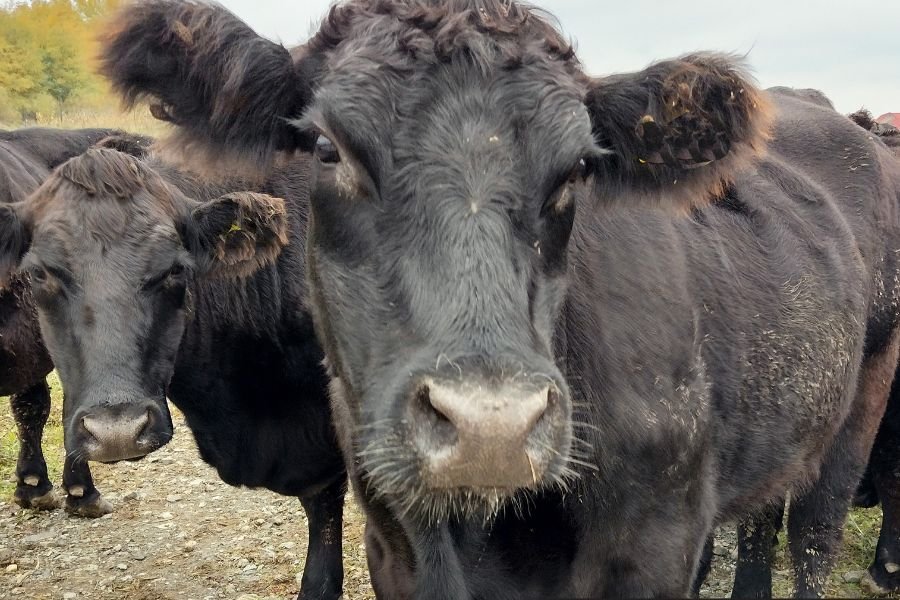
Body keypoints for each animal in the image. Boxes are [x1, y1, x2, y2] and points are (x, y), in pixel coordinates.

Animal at [97, 1, 900, 597]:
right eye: (327, 149)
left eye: (578, 169)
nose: (492, 427)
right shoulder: (394, 544)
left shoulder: (659, 544)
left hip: (862, 400)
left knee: (812, 536)